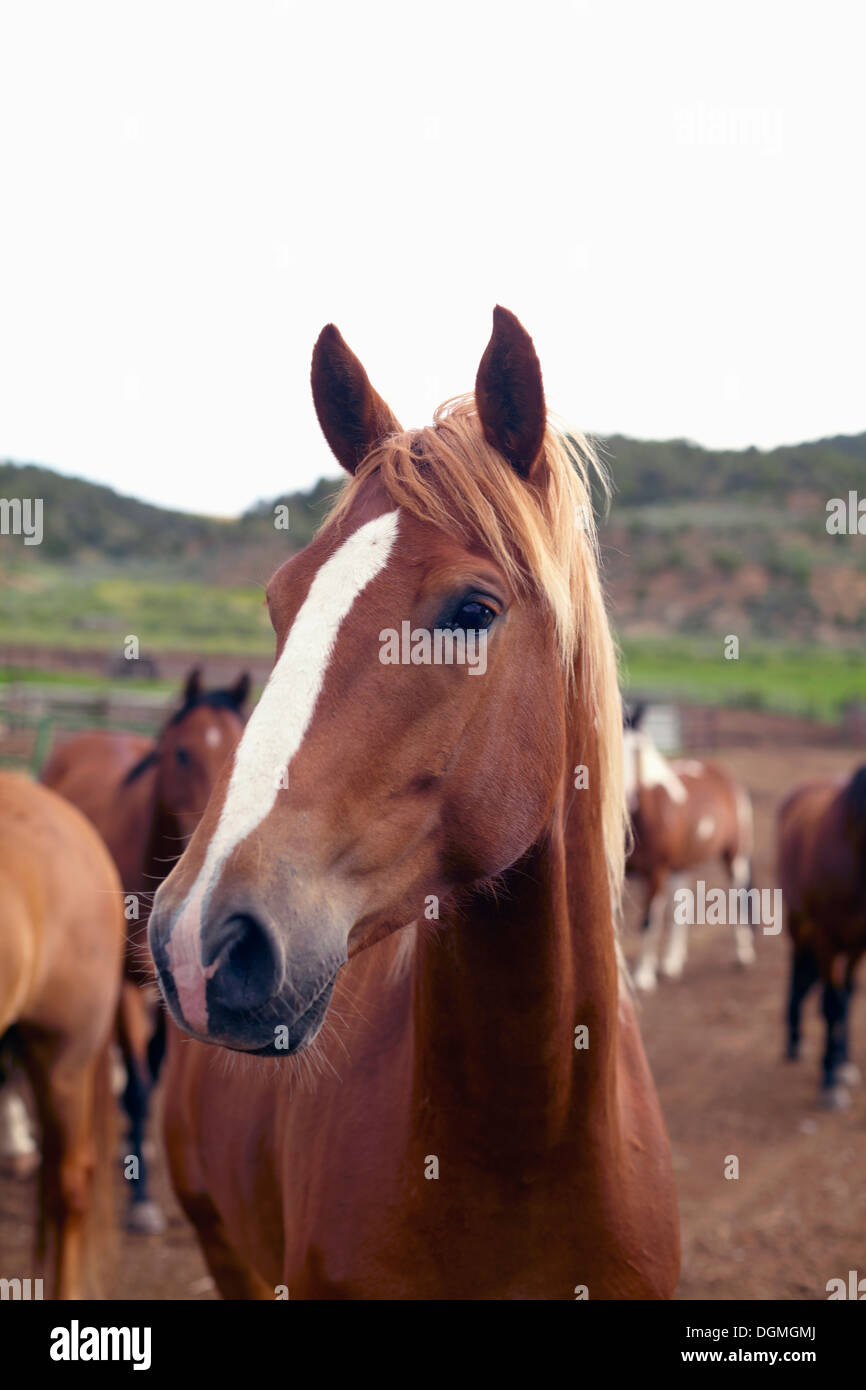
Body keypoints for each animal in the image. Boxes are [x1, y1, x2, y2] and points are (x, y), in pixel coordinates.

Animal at [40, 668, 250, 1231]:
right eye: (181, 752)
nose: (206, 843)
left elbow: (152, 1073)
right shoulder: (123, 990)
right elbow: (135, 1085)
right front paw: (140, 1200)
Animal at [623, 704, 756, 990]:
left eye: (636, 748)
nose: (625, 797)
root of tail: (727, 779)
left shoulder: (656, 874)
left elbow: (648, 922)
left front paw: (643, 977)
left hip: (734, 857)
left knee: (738, 897)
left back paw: (743, 955)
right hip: (681, 866)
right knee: (681, 908)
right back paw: (671, 963)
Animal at [778, 765, 866, 1108]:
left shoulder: (859, 945)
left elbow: (845, 999)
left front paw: (842, 1063)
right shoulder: (826, 940)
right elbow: (831, 1004)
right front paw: (829, 1080)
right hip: (798, 921)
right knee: (796, 968)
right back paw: (794, 1040)